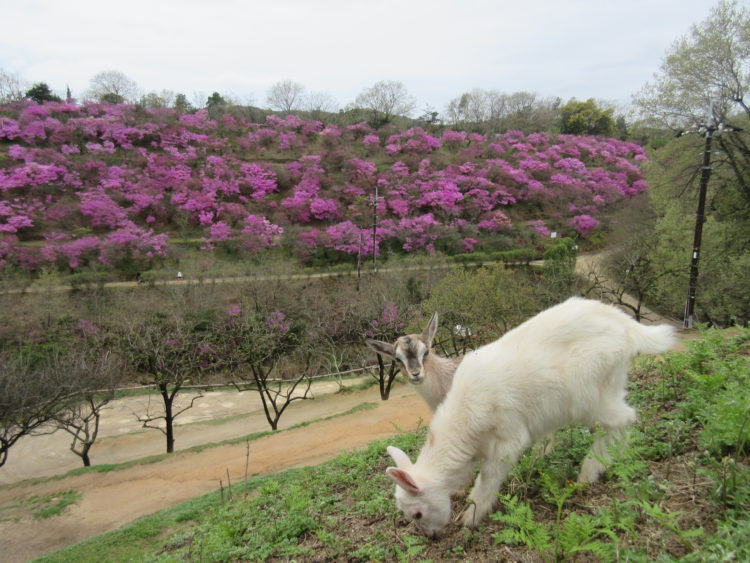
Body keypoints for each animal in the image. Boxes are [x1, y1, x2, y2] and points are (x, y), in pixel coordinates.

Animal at [384, 298, 680, 540]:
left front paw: (470, 516)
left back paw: (588, 473)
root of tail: (627, 327)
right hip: (610, 382)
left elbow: (488, 479)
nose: (433, 537)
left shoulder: (507, 438)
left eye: (418, 514)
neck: (465, 421)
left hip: (587, 391)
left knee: (623, 419)